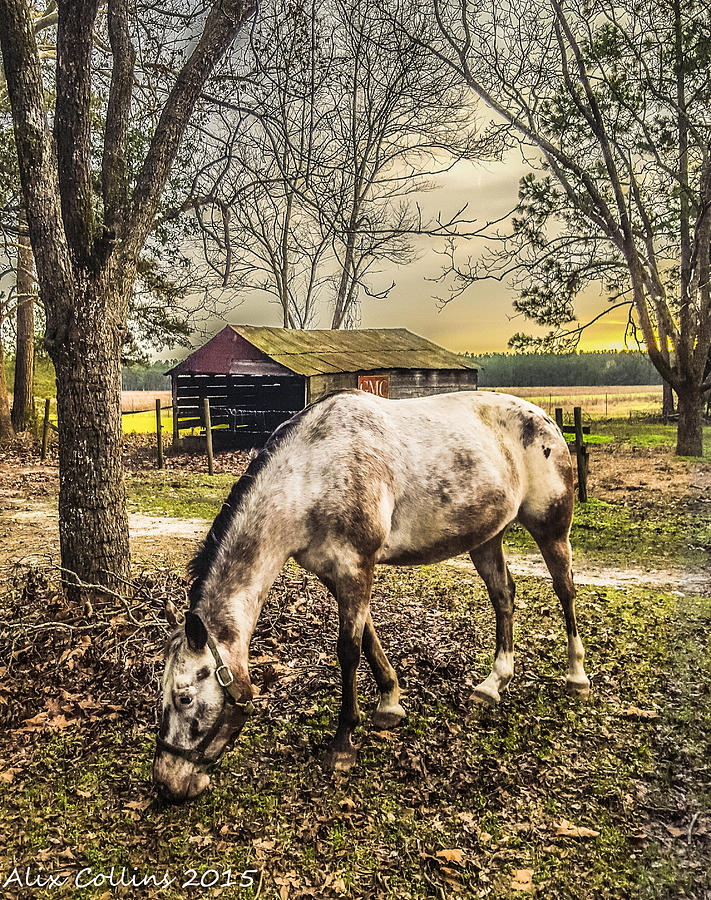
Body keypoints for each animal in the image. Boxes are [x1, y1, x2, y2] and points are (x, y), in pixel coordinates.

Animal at [154, 390, 588, 800]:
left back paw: (576, 677)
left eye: (184, 698)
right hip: (486, 538)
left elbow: (348, 649)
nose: (167, 783)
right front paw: (389, 703)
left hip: (551, 528)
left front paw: (343, 743)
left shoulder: (355, 566)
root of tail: (546, 418)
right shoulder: (336, 574)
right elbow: (367, 637)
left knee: (565, 589)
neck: (311, 475)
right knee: (503, 597)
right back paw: (494, 683)